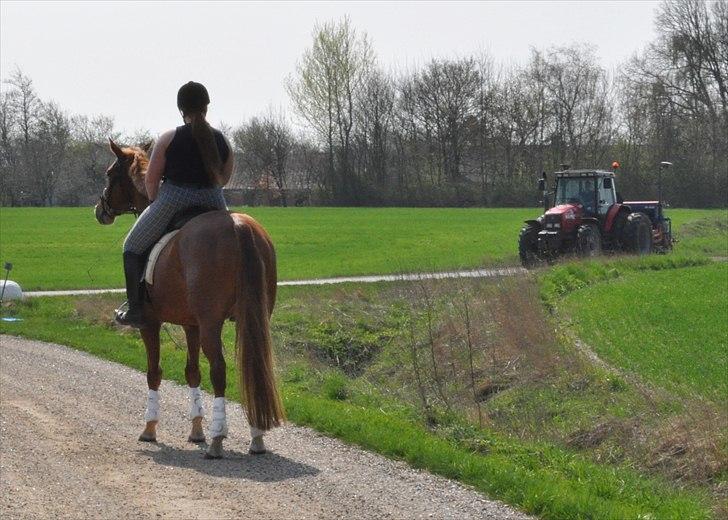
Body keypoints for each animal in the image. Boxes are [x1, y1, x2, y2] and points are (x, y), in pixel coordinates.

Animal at [91, 139, 284, 460]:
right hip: (251, 318)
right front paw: (196, 430)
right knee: (251, 367)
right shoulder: (191, 324)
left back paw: (218, 441)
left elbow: (154, 373)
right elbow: (192, 372)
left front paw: (149, 429)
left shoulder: (151, 323)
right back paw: (256, 437)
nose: (100, 210)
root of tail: (238, 226)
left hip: (211, 324)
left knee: (219, 370)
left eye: (109, 174)